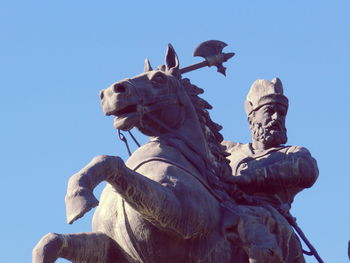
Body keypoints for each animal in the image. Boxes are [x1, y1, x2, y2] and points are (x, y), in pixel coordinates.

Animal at [32, 44, 284, 263]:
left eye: (159, 79)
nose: (110, 92)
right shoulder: (112, 248)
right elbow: (51, 241)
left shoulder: (178, 214)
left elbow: (112, 162)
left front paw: (79, 197)